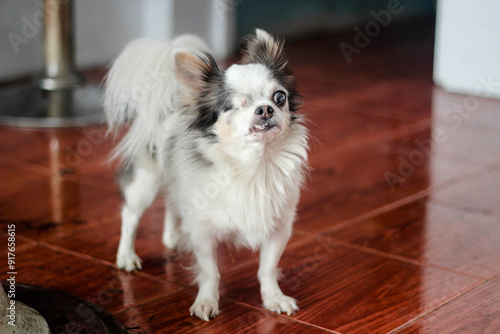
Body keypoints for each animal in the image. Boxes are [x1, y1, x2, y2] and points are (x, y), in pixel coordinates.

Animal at [104, 28, 308, 320]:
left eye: (279, 97)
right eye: (234, 106)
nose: (265, 109)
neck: (254, 163)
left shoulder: (279, 228)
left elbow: (267, 268)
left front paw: (273, 298)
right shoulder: (203, 232)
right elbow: (210, 271)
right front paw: (206, 302)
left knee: (171, 204)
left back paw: (171, 237)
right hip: (146, 180)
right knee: (130, 215)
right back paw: (127, 256)